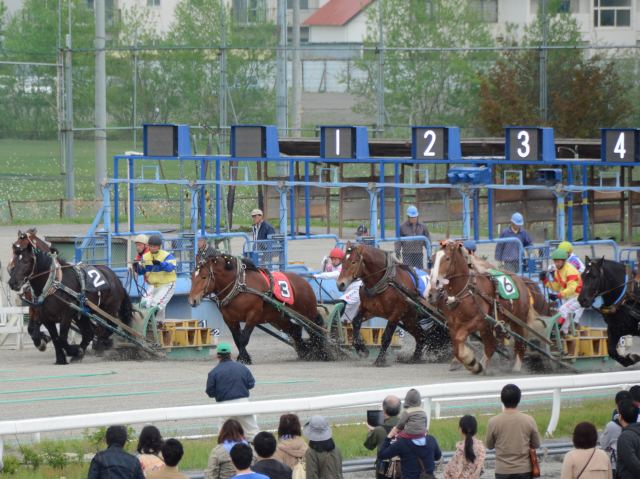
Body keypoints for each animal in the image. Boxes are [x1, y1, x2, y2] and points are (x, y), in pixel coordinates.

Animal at [188, 253, 329, 364]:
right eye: (192, 277)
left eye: (204, 277)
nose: (192, 300)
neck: (240, 287)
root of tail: (304, 282)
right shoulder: (230, 319)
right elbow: (237, 339)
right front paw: (245, 357)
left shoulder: (253, 315)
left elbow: (244, 338)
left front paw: (243, 358)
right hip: (278, 318)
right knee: (295, 330)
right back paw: (304, 351)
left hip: (307, 314)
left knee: (316, 331)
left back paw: (322, 352)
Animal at [430, 240, 537, 374]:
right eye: (433, 258)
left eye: (447, 258)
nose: (434, 285)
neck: (467, 290)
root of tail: (521, 281)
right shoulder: (454, 324)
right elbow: (456, 345)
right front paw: (471, 363)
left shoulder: (478, 320)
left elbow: (460, 338)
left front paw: (470, 362)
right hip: (488, 327)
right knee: (491, 346)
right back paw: (483, 365)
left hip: (518, 322)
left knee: (520, 345)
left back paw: (516, 368)